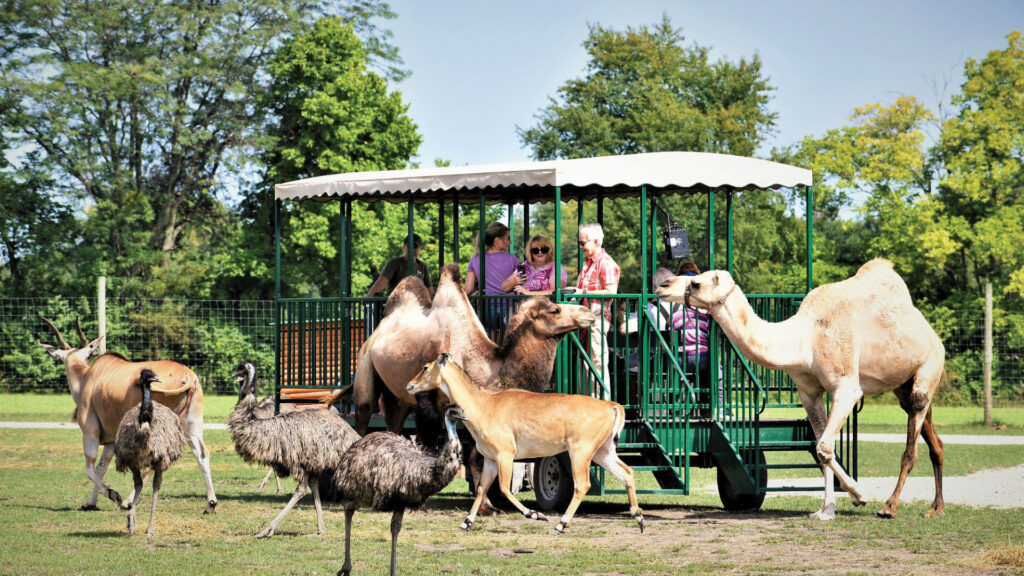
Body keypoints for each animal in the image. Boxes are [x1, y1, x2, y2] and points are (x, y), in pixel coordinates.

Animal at [38, 316, 217, 514]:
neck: (86, 378)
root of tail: (188, 375)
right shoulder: (110, 441)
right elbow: (101, 467)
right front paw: (90, 502)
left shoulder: (90, 432)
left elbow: (90, 468)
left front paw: (112, 494)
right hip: (189, 428)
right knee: (202, 454)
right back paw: (211, 503)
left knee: (152, 463)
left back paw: (128, 502)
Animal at [407, 353, 645, 534]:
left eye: (425, 367)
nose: (410, 385)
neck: (484, 405)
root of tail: (612, 406)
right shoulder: (491, 459)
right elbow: (482, 488)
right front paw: (466, 522)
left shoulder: (506, 455)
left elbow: (504, 488)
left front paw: (535, 514)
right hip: (602, 452)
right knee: (627, 472)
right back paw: (639, 518)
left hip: (580, 452)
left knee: (582, 484)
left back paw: (561, 524)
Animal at [655, 258, 945, 521]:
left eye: (696, 282)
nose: (661, 286)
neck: (805, 339)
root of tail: (933, 334)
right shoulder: (809, 392)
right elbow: (820, 448)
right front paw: (827, 510)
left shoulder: (846, 387)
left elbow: (825, 447)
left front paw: (859, 494)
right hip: (904, 385)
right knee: (933, 439)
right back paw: (936, 508)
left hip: (930, 366)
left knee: (912, 441)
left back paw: (890, 507)